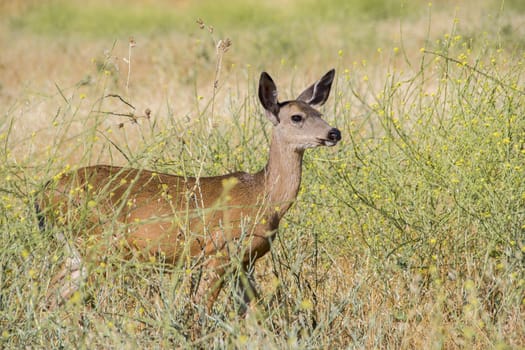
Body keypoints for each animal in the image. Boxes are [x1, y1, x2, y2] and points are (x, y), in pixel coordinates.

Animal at [35, 67, 340, 318]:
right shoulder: (220, 252)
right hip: (96, 242)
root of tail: (44, 194)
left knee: (50, 297)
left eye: (321, 114)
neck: (263, 197)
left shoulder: (244, 262)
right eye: (297, 117)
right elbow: (201, 308)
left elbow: (255, 312)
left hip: (77, 250)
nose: (334, 133)